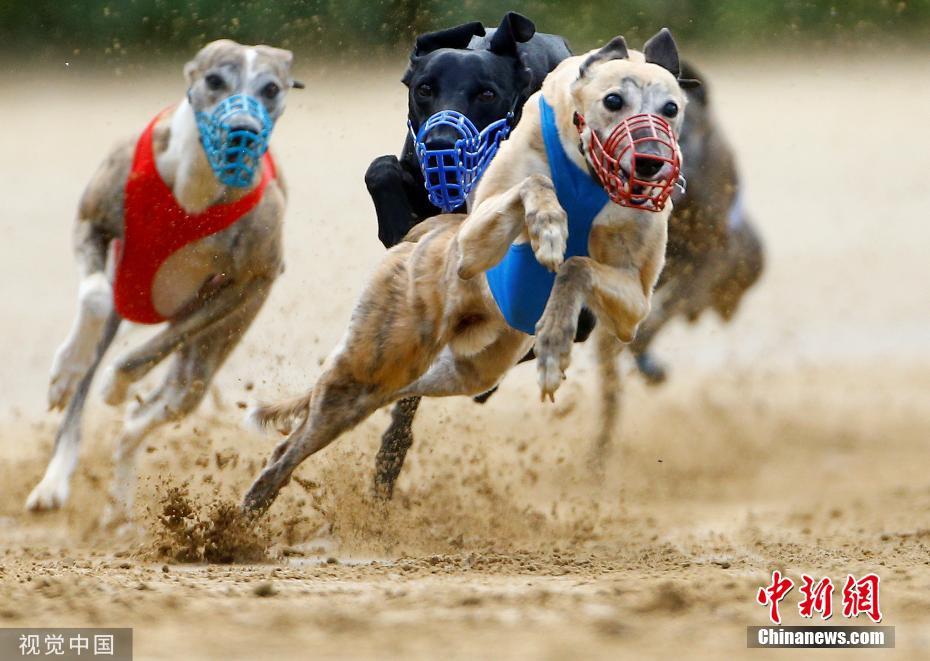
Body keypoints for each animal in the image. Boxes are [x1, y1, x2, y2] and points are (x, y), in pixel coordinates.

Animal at [26, 39, 298, 523]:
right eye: (214, 80)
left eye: (271, 88)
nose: (243, 131)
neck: (195, 187)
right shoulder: (92, 223)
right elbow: (93, 298)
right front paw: (64, 372)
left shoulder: (251, 282)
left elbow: (149, 352)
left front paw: (117, 385)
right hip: (121, 302)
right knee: (85, 389)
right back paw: (54, 480)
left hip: (206, 358)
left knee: (148, 413)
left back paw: (119, 509)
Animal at [241, 28, 696, 515]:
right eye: (612, 100)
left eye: (671, 108)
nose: (650, 161)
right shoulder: (474, 237)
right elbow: (530, 189)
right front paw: (548, 226)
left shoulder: (631, 302)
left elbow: (576, 269)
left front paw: (553, 333)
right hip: (372, 363)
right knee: (303, 435)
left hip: (451, 368)